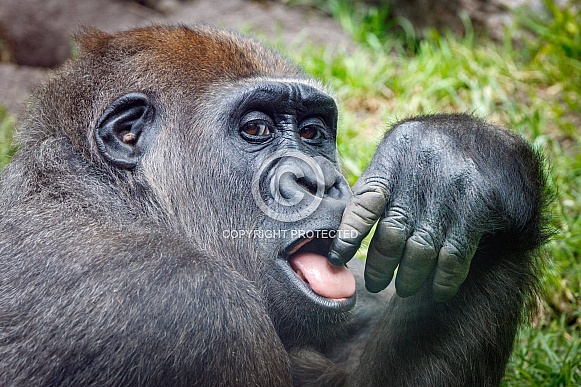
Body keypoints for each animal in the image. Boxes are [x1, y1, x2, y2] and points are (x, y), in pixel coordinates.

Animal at [0, 25, 548, 386]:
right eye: (257, 129)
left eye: (313, 134)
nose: (322, 182)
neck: (120, 194)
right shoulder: (189, 304)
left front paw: (465, 163)